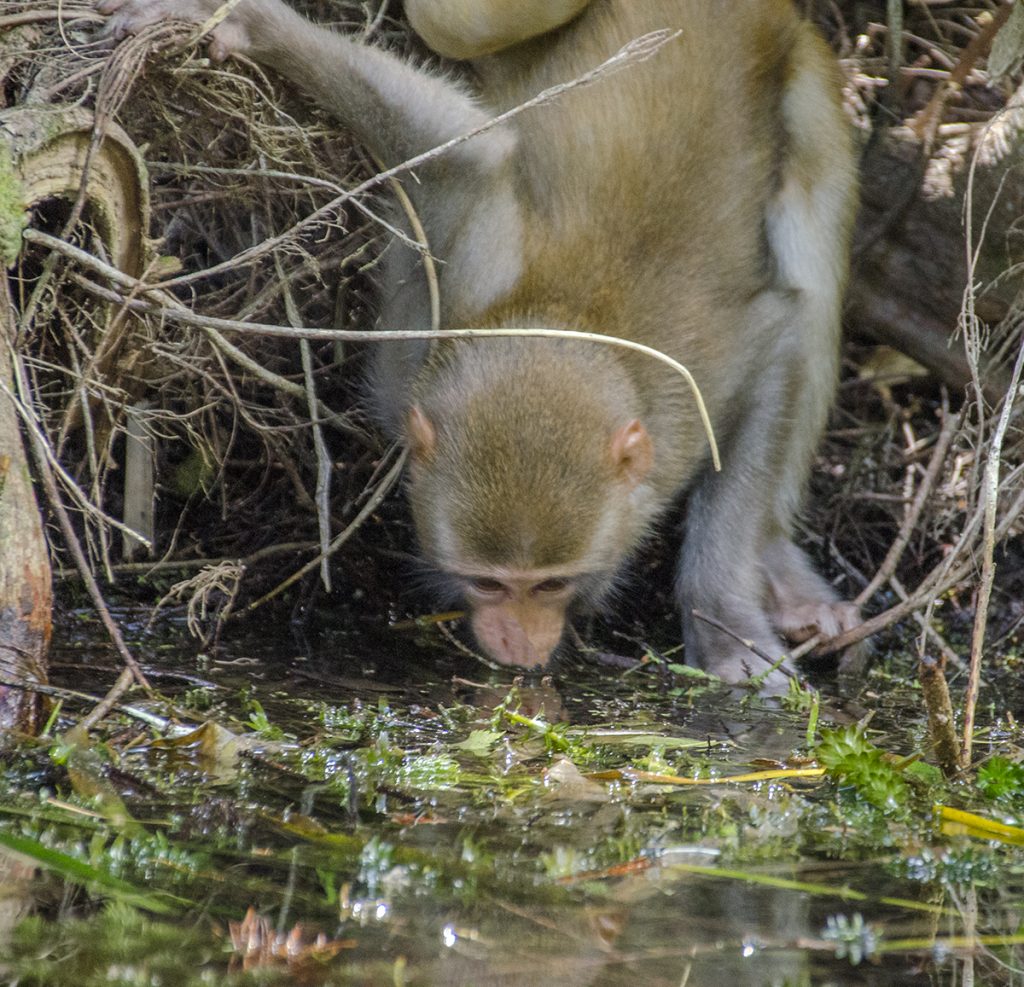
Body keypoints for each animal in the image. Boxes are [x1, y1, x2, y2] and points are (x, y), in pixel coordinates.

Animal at [101, 0, 856, 692]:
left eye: (551, 584)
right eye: (490, 584)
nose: (520, 645)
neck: (570, 318)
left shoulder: (696, 390)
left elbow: (782, 345)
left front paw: (724, 619)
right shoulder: (447, 309)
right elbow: (467, 160)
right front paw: (250, 23)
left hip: (810, 68)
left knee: (813, 249)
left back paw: (781, 568)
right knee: (452, 26)